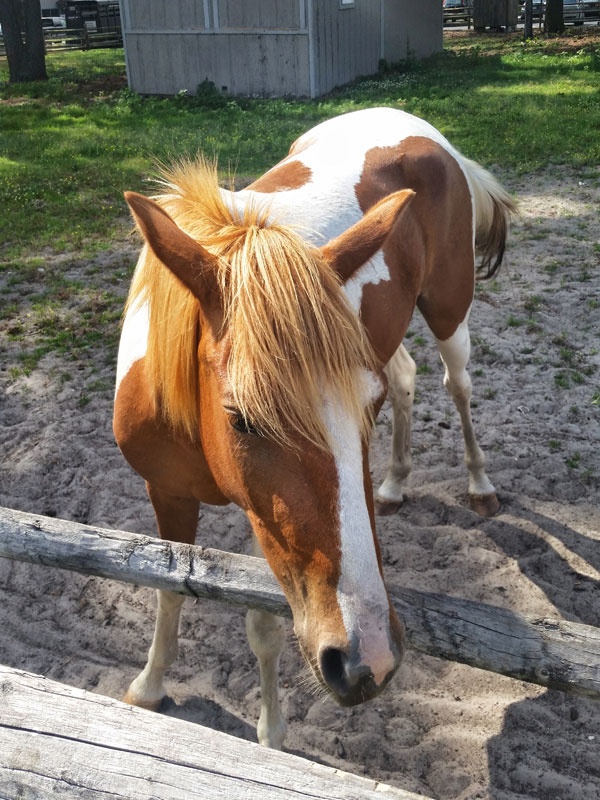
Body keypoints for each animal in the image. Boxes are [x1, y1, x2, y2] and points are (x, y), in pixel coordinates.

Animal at [114, 107, 515, 750]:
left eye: (367, 413)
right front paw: (149, 687)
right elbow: (167, 580)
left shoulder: (263, 524)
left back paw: (479, 485)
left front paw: (271, 735)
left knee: (458, 384)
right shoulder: (166, 491)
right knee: (406, 376)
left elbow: (263, 621)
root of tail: (419, 128)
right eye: (242, 418)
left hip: (449, 310)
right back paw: (395, 483)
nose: (369, 660)